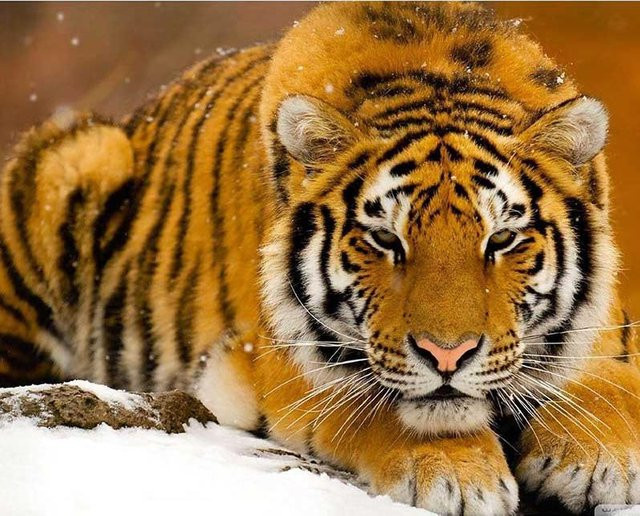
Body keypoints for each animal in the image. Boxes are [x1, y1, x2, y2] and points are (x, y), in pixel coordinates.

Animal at [1, 2, 639, 513]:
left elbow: (606, 384)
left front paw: (602, 458)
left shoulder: (607, 329)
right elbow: (378, 406)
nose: (447, 355)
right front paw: (459, 475)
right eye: (385, 240)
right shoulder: (284, 363)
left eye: (501, 240)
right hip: (78, 156)